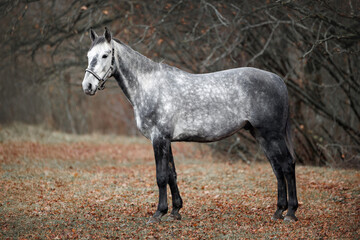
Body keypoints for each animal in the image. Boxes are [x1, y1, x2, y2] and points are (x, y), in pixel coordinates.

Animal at [81, 27, 298, 223]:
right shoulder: (166, 140)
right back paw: (279, 211)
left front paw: (158, 213)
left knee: (287, 165)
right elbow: (172, 174)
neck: (150, 86)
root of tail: (278, 80)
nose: (87, 86)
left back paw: (290, 213)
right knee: (277, 168)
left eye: (105, 55)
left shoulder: (158, 138)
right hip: (260, 135)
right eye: (89, 55)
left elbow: (161, 176)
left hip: (272, 135)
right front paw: (175, 211)